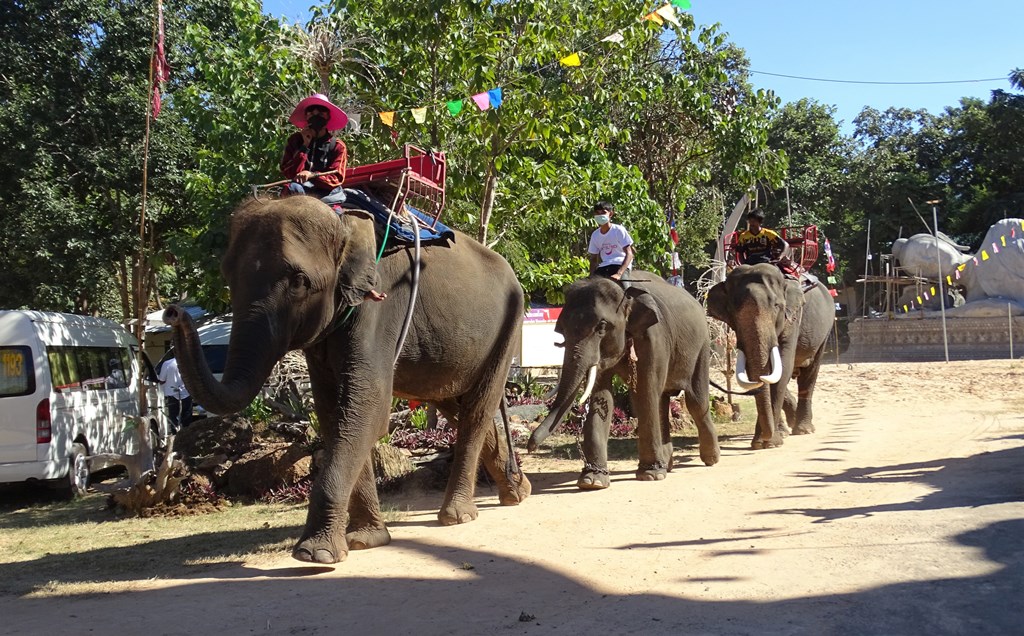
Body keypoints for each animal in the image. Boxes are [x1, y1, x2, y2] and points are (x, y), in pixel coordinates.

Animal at [163, 195, 532, 561]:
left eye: (299, 281)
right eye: (228, 276)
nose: (173, 311)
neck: (344, 220)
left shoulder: (381, 303)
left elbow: (366, 405)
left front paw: (315, 555)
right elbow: (333, 410)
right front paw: (365, 541)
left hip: (509, 325)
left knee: (476, 409)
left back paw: (458, 516)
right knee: (453, 405)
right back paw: (518, 492)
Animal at [528, 270, 720, 489]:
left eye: (601, 327)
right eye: (561, 330)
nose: (529, 446)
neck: (625, 292)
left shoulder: (653, 338)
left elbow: (645, 392)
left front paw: (650, 475)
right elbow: (602, 397)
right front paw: (593, 480)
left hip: (702, 347)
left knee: (695, 401)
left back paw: (710, 459)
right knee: (662, 402)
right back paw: (668, 464)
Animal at [708, 262, 835, 446]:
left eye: (776, 306)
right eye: (732, 311)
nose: (765, 438)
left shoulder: (793, 318)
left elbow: (783, 366)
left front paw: (766, 443)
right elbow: (758, 374)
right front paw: (770, 439)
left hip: (825, 331)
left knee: (810, 372)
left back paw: (803, 429)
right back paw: (787, 427)